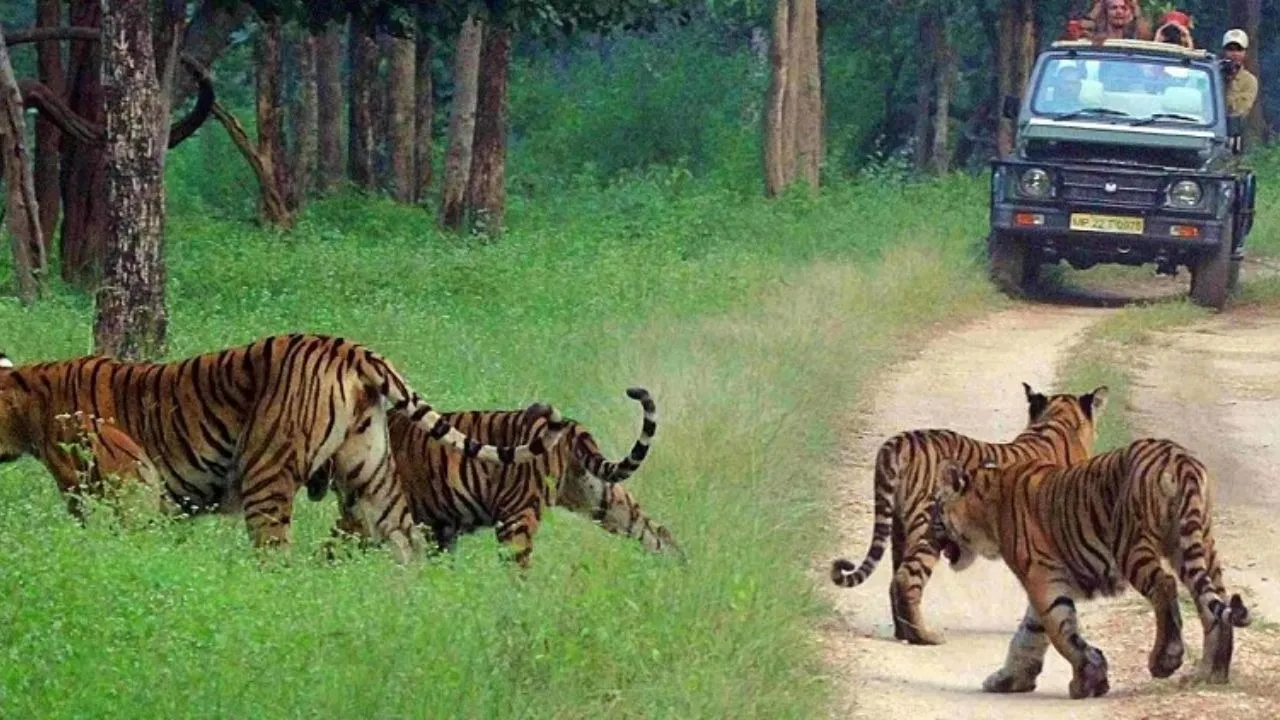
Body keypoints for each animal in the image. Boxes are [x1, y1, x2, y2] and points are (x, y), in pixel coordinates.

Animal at [0, 335, 567, 563]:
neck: (29, 397)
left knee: (274, 553)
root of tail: (350, 348)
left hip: (265, 470)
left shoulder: (123, 483)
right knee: (405, 545)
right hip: (373, 475)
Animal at [310, 387, 678, 567]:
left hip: (516, 516)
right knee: (657, 533)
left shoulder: (361, 518)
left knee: (518, 568)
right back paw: (679, 576)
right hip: (603, 497)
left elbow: (329, 548)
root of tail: (573, 427)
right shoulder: (440, 527)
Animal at [829, 383, 1108, 645]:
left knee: (894, 580)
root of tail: (898, 442)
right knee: (906, 579)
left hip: (899, 529)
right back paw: (925, 637)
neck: (1058, 420)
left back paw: (904, 633)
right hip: (928, 528)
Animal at [931, 439, 1252, 699]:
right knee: (1214, 603)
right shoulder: (1045, 581)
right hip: (1196, 544)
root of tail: (1178, 456)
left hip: (1131, 544)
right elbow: (1031, 632)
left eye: (935, 509)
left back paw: (1164, 660)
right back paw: (1211, 673)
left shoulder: (1042, 578)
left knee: (1165, 586)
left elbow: (1062, 633)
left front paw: (1087, 680)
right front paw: (1008, 680)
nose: (929, 538)